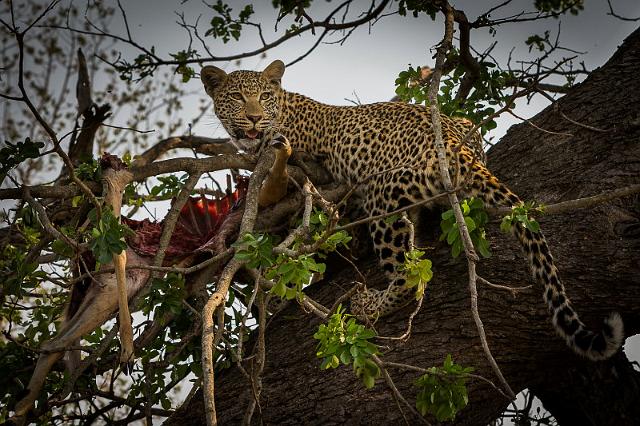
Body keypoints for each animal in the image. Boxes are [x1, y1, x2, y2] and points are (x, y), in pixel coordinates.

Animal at [199, 59, 620, 360]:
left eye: (262, 97)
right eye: (237, 97)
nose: (254, 117)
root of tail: (454, 146)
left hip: (384, 199)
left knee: (409, 277)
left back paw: (368, 304)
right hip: (459, 135)